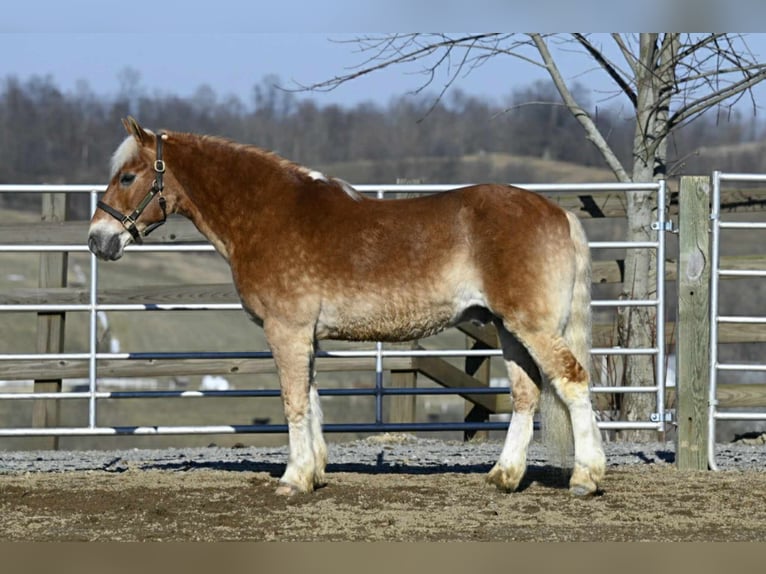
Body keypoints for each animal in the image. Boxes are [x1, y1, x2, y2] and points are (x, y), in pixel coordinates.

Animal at [88, 116, 608, 496]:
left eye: (128, 176)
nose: (98, 239)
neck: (268, 214)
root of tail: (558, 213)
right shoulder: (305, 336)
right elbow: (312, 399)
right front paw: (315, 471)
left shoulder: (286, 330)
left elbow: (294, 402)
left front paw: (293, 480)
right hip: (507, 327)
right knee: (526, 393)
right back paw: (504, 476)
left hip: (531, 325)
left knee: (572, 380)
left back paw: (585, 478)